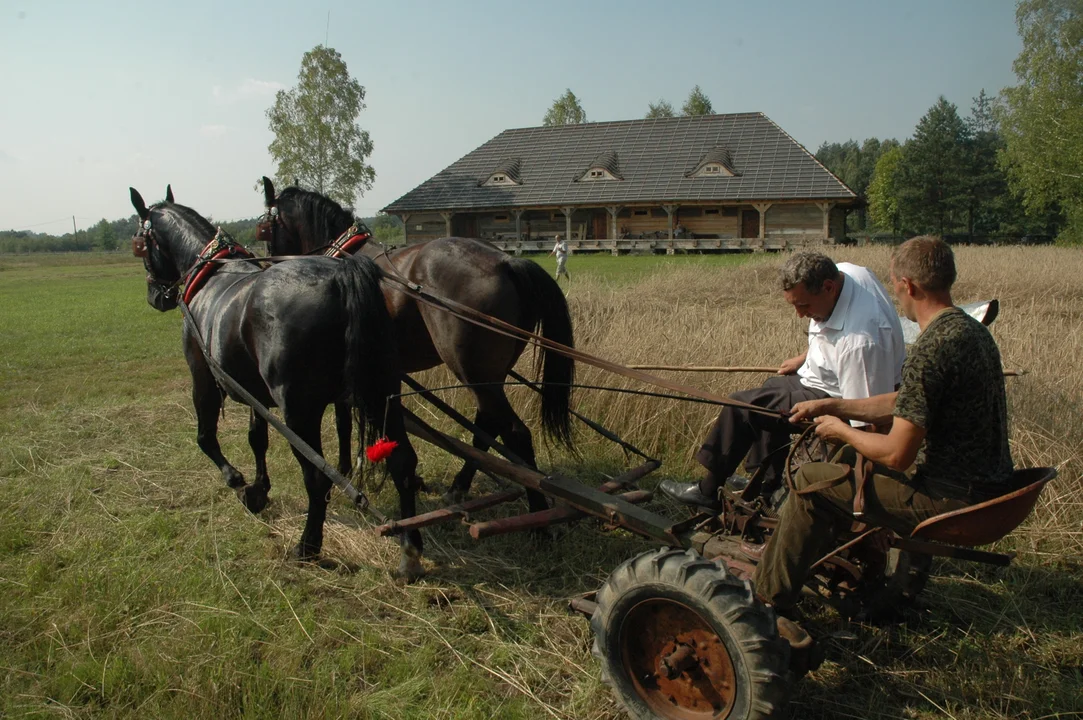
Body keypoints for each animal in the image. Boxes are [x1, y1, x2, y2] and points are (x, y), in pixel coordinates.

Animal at [128, 186, 424, 580]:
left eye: (141, 243)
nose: (154, 296)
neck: (208, 277)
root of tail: (344, 274)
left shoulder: (203, 377)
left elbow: (205, 437)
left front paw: (239, 483)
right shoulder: (255, 393)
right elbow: (258, 439)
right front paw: (259, 488)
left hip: (299, 412)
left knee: (317, 478)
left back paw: (308, 546)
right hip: (380, 393)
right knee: (403, 462)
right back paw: (410, 547)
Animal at [257, 176, 576, 511]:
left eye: (263, 230)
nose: (266, 267)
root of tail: (506, 261)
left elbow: (344, 422)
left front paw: (346, 469)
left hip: (472, 370)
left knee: (514, 432)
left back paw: (537, 508)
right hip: (488, 375)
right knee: (487, 426)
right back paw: (460, 486)